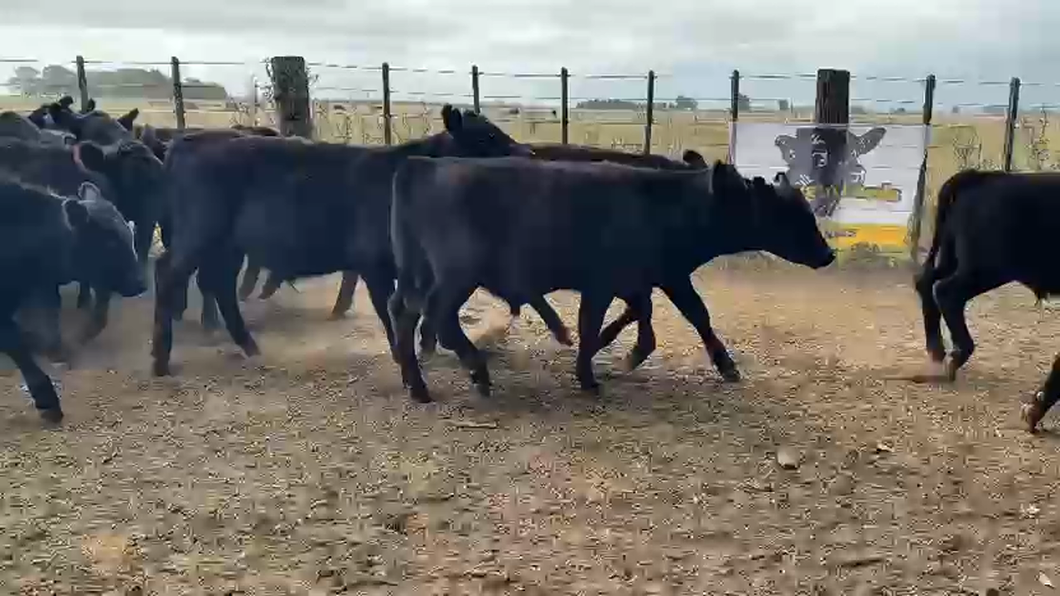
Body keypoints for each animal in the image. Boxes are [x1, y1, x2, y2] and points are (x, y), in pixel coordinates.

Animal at [150, 105, 540, 378]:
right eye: (486, 137)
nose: (530, 155)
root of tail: (182, 143)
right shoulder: (375, 262)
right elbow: (389, 310)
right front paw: (404, 357)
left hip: (228, 245)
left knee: (220, 285)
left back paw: (248, 347)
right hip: (199, 233)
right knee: (169, 272)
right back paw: (160, 360)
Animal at [387, 157, 835, 403]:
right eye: (790, 214)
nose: (828, 254)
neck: (665, 204)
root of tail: (422, 165)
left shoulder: (661, 276)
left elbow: (683, 315)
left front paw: (721, 364)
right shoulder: (608, 283)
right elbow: (601, 323)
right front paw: (590, 373)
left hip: (420, 273)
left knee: (404, 312)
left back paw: (417, 385)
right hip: (455, 274)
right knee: (437, 315)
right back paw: (476, 372)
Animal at [913, 169, 1060, 433]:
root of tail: (985, 177)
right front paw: (1035, 410)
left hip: (955, 258)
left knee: (927, 282)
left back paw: (937, 350)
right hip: (987, 268)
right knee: (946, 292)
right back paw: (956, 355)